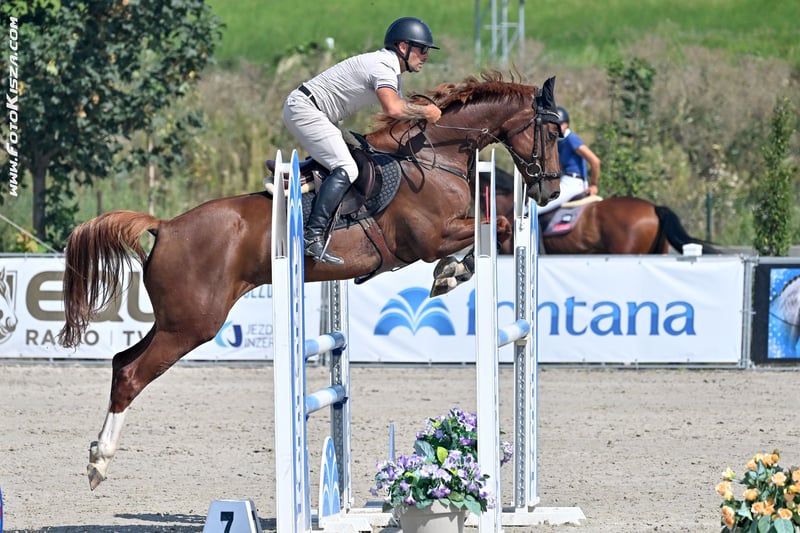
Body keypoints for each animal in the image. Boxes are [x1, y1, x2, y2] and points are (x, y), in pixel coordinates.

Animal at [58, 73, 563, 489]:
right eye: (552, 133)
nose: (551, 190)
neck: (434, 156)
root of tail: (165, 226)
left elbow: (496, 230)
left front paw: (451, 273)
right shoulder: (429, 237)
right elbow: (498, 227)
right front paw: (451, 273)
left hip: (175, 321)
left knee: (121, 362)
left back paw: (97, 454)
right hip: (192, 324)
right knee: (131, 375)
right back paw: (99, 463)